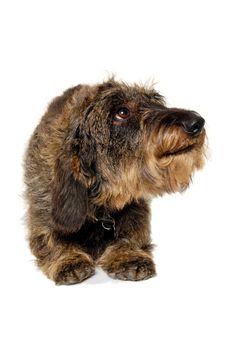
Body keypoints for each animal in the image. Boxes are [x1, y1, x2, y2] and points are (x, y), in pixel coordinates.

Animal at [24, 79, 206, 284]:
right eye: (122, 112)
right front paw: (68, 259)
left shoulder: (137, 208)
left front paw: (129, 256)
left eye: (156, 102)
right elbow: (51, 237)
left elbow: (131, 234)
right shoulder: (42, 211)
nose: (197, 122)